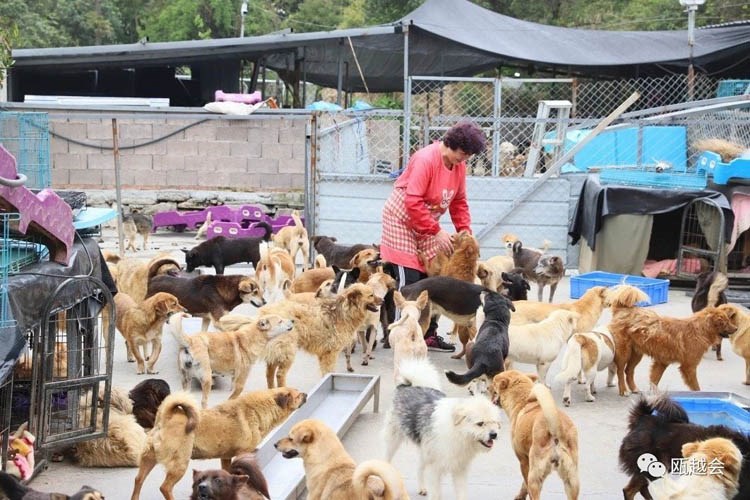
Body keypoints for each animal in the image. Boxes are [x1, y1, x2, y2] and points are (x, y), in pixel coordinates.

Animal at [131, 387, 307, 500]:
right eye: (298, 395)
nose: (305, 394)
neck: (262, 407)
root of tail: (165, 416)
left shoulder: (226, 458)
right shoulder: (243, 453)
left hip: (148, 460)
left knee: (138, 480)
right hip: (180, 464)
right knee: (165, 487)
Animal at [384, 357, 501, 500]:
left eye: (494, 422)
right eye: (480, 423)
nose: (494, 435)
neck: (458, 433)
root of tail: (407, 386)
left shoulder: (459, 469)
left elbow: (461, 493)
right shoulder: (435, 468)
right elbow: (436, 494)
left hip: (424, 451)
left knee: (419, 468)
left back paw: (422, 488)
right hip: (393, 440)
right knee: (386, 460)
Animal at [489, 370, 580, 500]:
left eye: (493, 382)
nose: (487, 387)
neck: (524, 400)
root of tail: (556, 428)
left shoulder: (523, 461)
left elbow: (525, 483)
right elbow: (524, 484)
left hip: (535, 478)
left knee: (534, 492)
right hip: (571, 480)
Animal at [608, 285, 740, 395]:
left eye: (729, 320)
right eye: (726, 322)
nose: (736, 328)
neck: (700, 330)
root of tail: (623, 309)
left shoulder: (662, 362)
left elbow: (654, 380)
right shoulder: (689, 366)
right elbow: (696, 387)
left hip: (636, 354)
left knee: (628, 371)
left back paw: (634, 388)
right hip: (624, 352)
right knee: (620, 371)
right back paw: (624, 390)